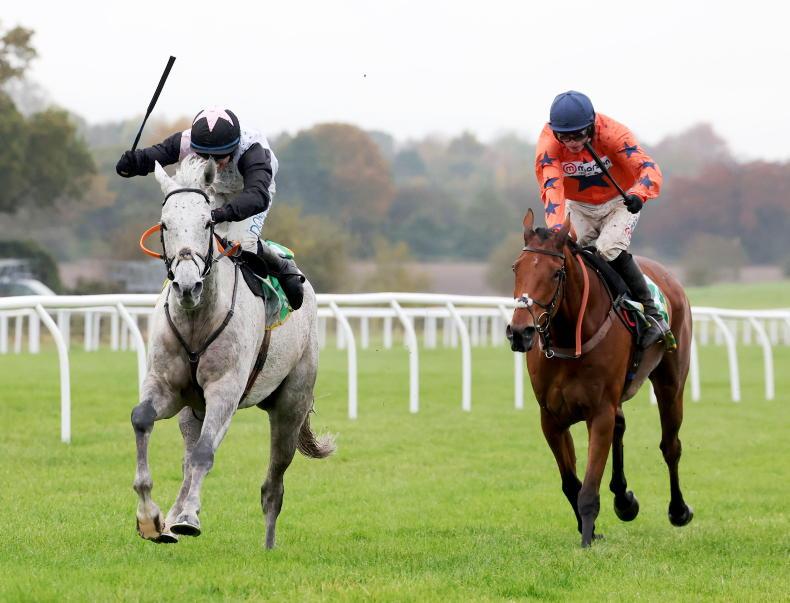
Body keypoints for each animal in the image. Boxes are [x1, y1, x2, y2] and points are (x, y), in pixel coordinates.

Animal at [131, 157, 335, 548]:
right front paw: (151, 518)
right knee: (188, 457)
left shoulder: (225, 389)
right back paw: (173, 517)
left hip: (291, 404)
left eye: (208, 223)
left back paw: (266, 544)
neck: (197, 318)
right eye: (165, 224)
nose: (187, 285)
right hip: (191, 411)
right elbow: (142, 419)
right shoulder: (166, 385)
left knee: (273, 486)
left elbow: (206, 452)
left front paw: (188, 519)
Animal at [506, 209, 693, 547]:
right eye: (517, 267)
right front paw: (590, 530)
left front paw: (586, 541)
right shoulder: (550, 418)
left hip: (671, 384)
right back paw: (624, 500)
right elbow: (571, 483)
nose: (519, 332)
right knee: (622, 426)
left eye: (556, 273)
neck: (570, 338)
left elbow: (590, 487)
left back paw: (678, 510)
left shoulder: (599, 413)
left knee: (670, 446)